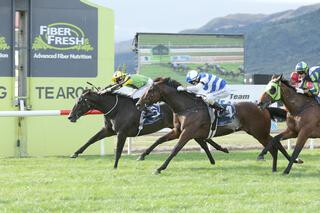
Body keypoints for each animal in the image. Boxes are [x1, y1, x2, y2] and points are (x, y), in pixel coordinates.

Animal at [67, 88, 229, 168]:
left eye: (80, 101)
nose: (70, 116)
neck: (116, 109)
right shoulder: (108, 130)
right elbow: (91, 139)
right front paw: (75, 153)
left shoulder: (121, 133)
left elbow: (118, 150)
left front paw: (115, 166)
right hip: (182, 128)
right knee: (202, 141)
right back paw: (215, 157)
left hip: (183, 128)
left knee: (202, 140)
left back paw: (220, 151)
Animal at [136, 77, 294, 174]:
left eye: (150, 90)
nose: (138, 104)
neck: (187, 107)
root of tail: (263, 107)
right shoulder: (177, 130)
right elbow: (159, 140)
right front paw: (142, 155)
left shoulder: (187, 132)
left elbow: (175, 149)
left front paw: (160, 167)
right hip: (259, 133)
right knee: (275, 145)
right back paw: (276, 167)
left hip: (259, 132)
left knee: (274, 145)